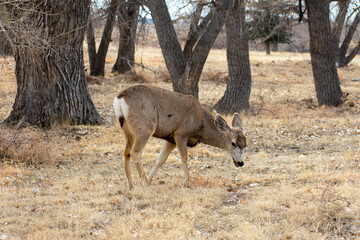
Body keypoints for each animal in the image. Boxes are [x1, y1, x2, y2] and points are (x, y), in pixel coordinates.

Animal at [114, 84, 246, 189]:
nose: (241, 163)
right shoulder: (181, 133)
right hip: (145, 128)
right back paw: (147, 186)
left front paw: (150, 179)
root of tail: (120, 98)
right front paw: (188, 183)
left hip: (128, 130)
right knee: (135, 153)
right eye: (233, 143)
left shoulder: (170, 138)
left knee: (126, 153)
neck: (201, 124)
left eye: (245, 144)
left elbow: (160, 160)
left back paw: (131, 186)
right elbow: (184, 158)